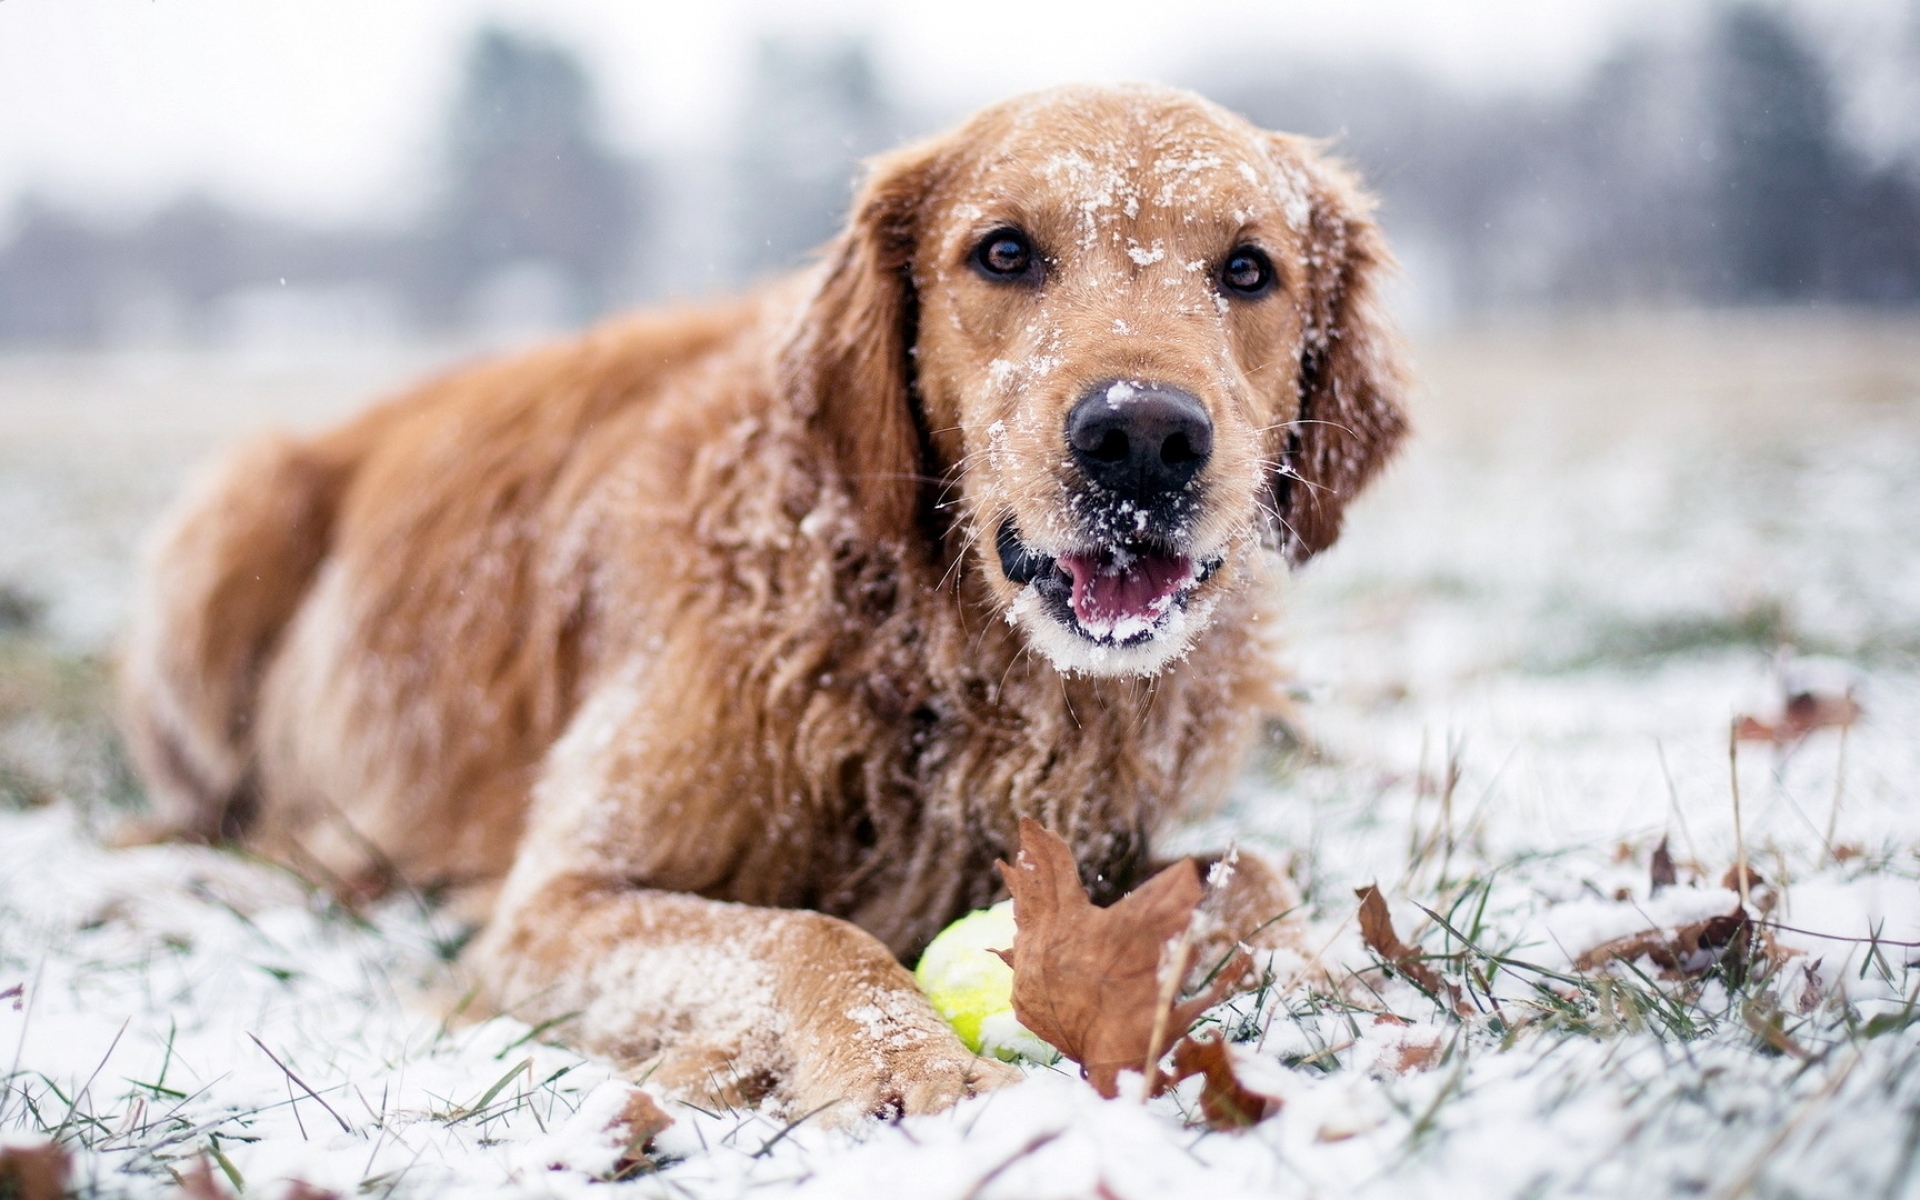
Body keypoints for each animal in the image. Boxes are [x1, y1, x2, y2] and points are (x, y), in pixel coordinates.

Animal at [120, 82, 1413, 1113]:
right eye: (1004, 253)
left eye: (1248, 268)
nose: (1142, 437)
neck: (927, 650)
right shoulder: (553, 906)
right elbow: (808, 932)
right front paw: (909, 1066)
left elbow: (1250, 872)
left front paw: (1343, 989)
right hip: (224, 526)